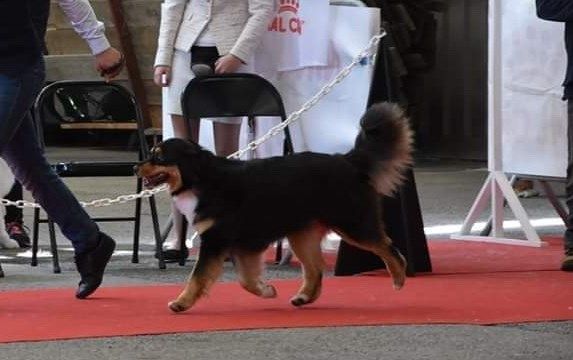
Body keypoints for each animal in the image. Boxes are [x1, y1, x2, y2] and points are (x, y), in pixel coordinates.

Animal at [136, 102, 414, 312]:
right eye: (151, 153)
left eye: (158, 156)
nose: (136, 166)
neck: (201, 179)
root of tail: (347, 160)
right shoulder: (241, 245)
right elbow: (246, 280)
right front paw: (266, 290)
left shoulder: (216, 240)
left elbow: (198, 277)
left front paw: (181, 303)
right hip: (302, 234)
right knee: (315, 270)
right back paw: (304, 297)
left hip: (352, 224)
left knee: (387, 247)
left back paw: (399, 278)